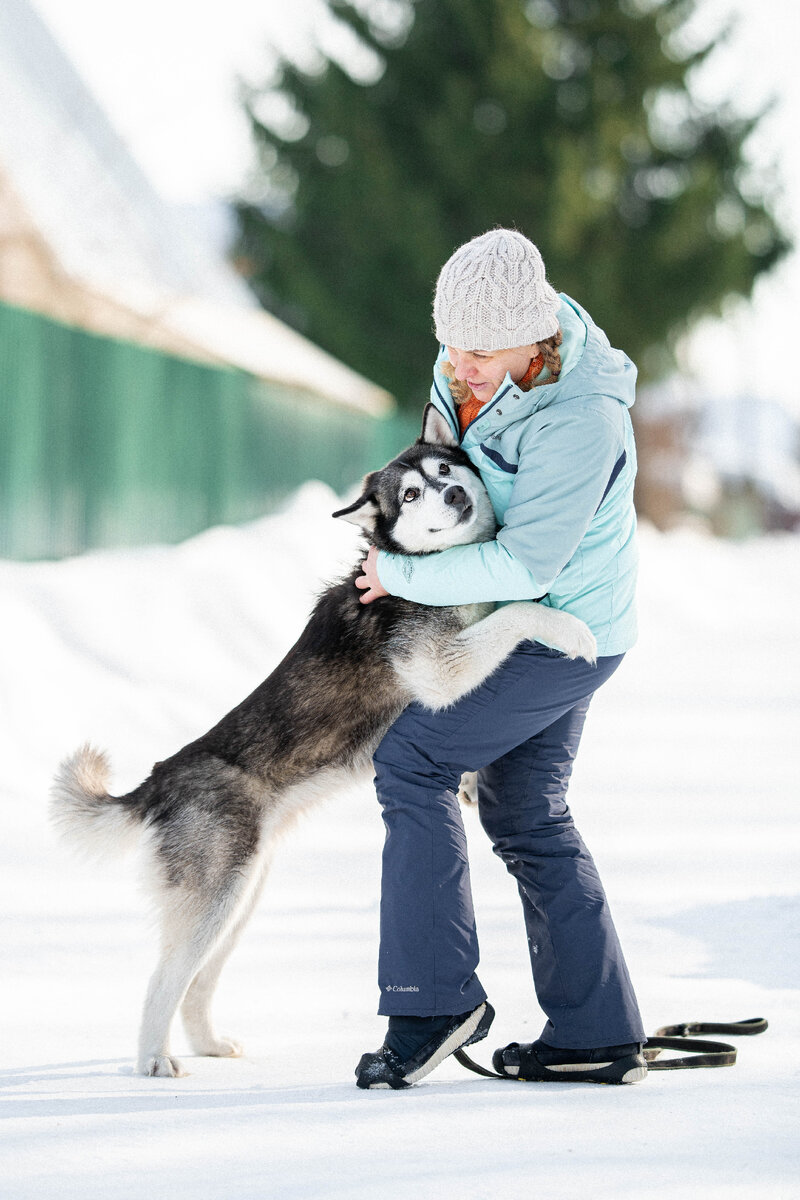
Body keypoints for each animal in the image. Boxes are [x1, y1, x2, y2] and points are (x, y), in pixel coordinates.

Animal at [51, 403, 594, 1080]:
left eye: (444, 470)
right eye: (410, 494)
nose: (450, 494)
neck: (441, 575)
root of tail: (159, 780)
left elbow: (499, 621)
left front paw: (470, 780)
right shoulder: (440, 671)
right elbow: (515, 614)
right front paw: (566, 627)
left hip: (241, 895)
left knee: (196, 983)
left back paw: (208, 1043)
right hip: (215, 897)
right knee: (163, 980)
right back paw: (154, 1059)